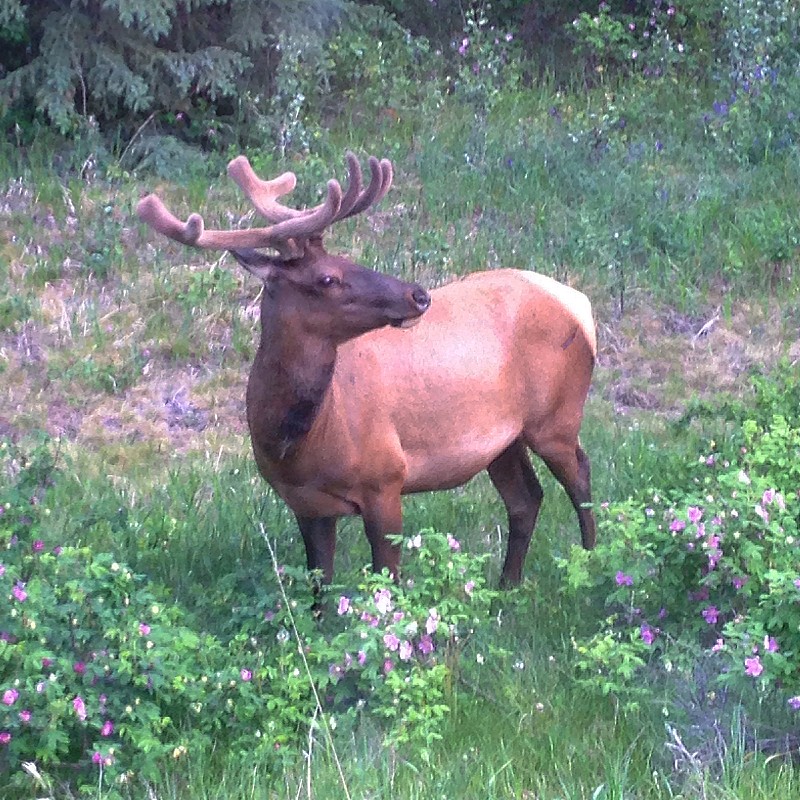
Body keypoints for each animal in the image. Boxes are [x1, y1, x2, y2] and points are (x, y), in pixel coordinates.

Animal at [138, 152, 596, 588]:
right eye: (327, 277)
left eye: (347, 258)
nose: (419, 295)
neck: (301, 445)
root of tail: (578, 302)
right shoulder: (306, 506)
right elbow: (320, 590)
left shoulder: (387, 480)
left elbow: (386, 583)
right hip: (503, 440)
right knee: (526, 498)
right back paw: (508, 586)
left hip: (556, 416)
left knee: (581, 478)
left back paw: (591, 567)